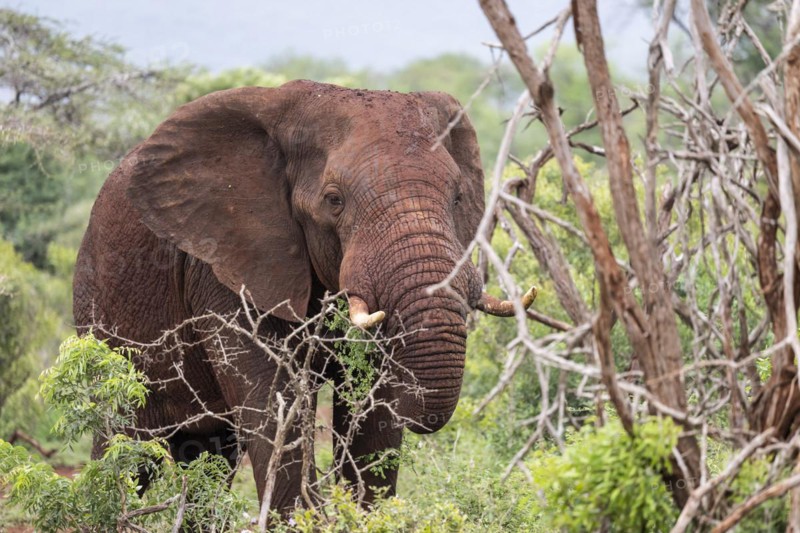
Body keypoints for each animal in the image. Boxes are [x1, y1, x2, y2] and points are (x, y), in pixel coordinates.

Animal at [72, 80, 534, 515]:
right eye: (334, 200)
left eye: (457, 197)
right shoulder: (224, 262)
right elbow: (274, 401)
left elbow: (374, 412)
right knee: (127, 452)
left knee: (210, 460)